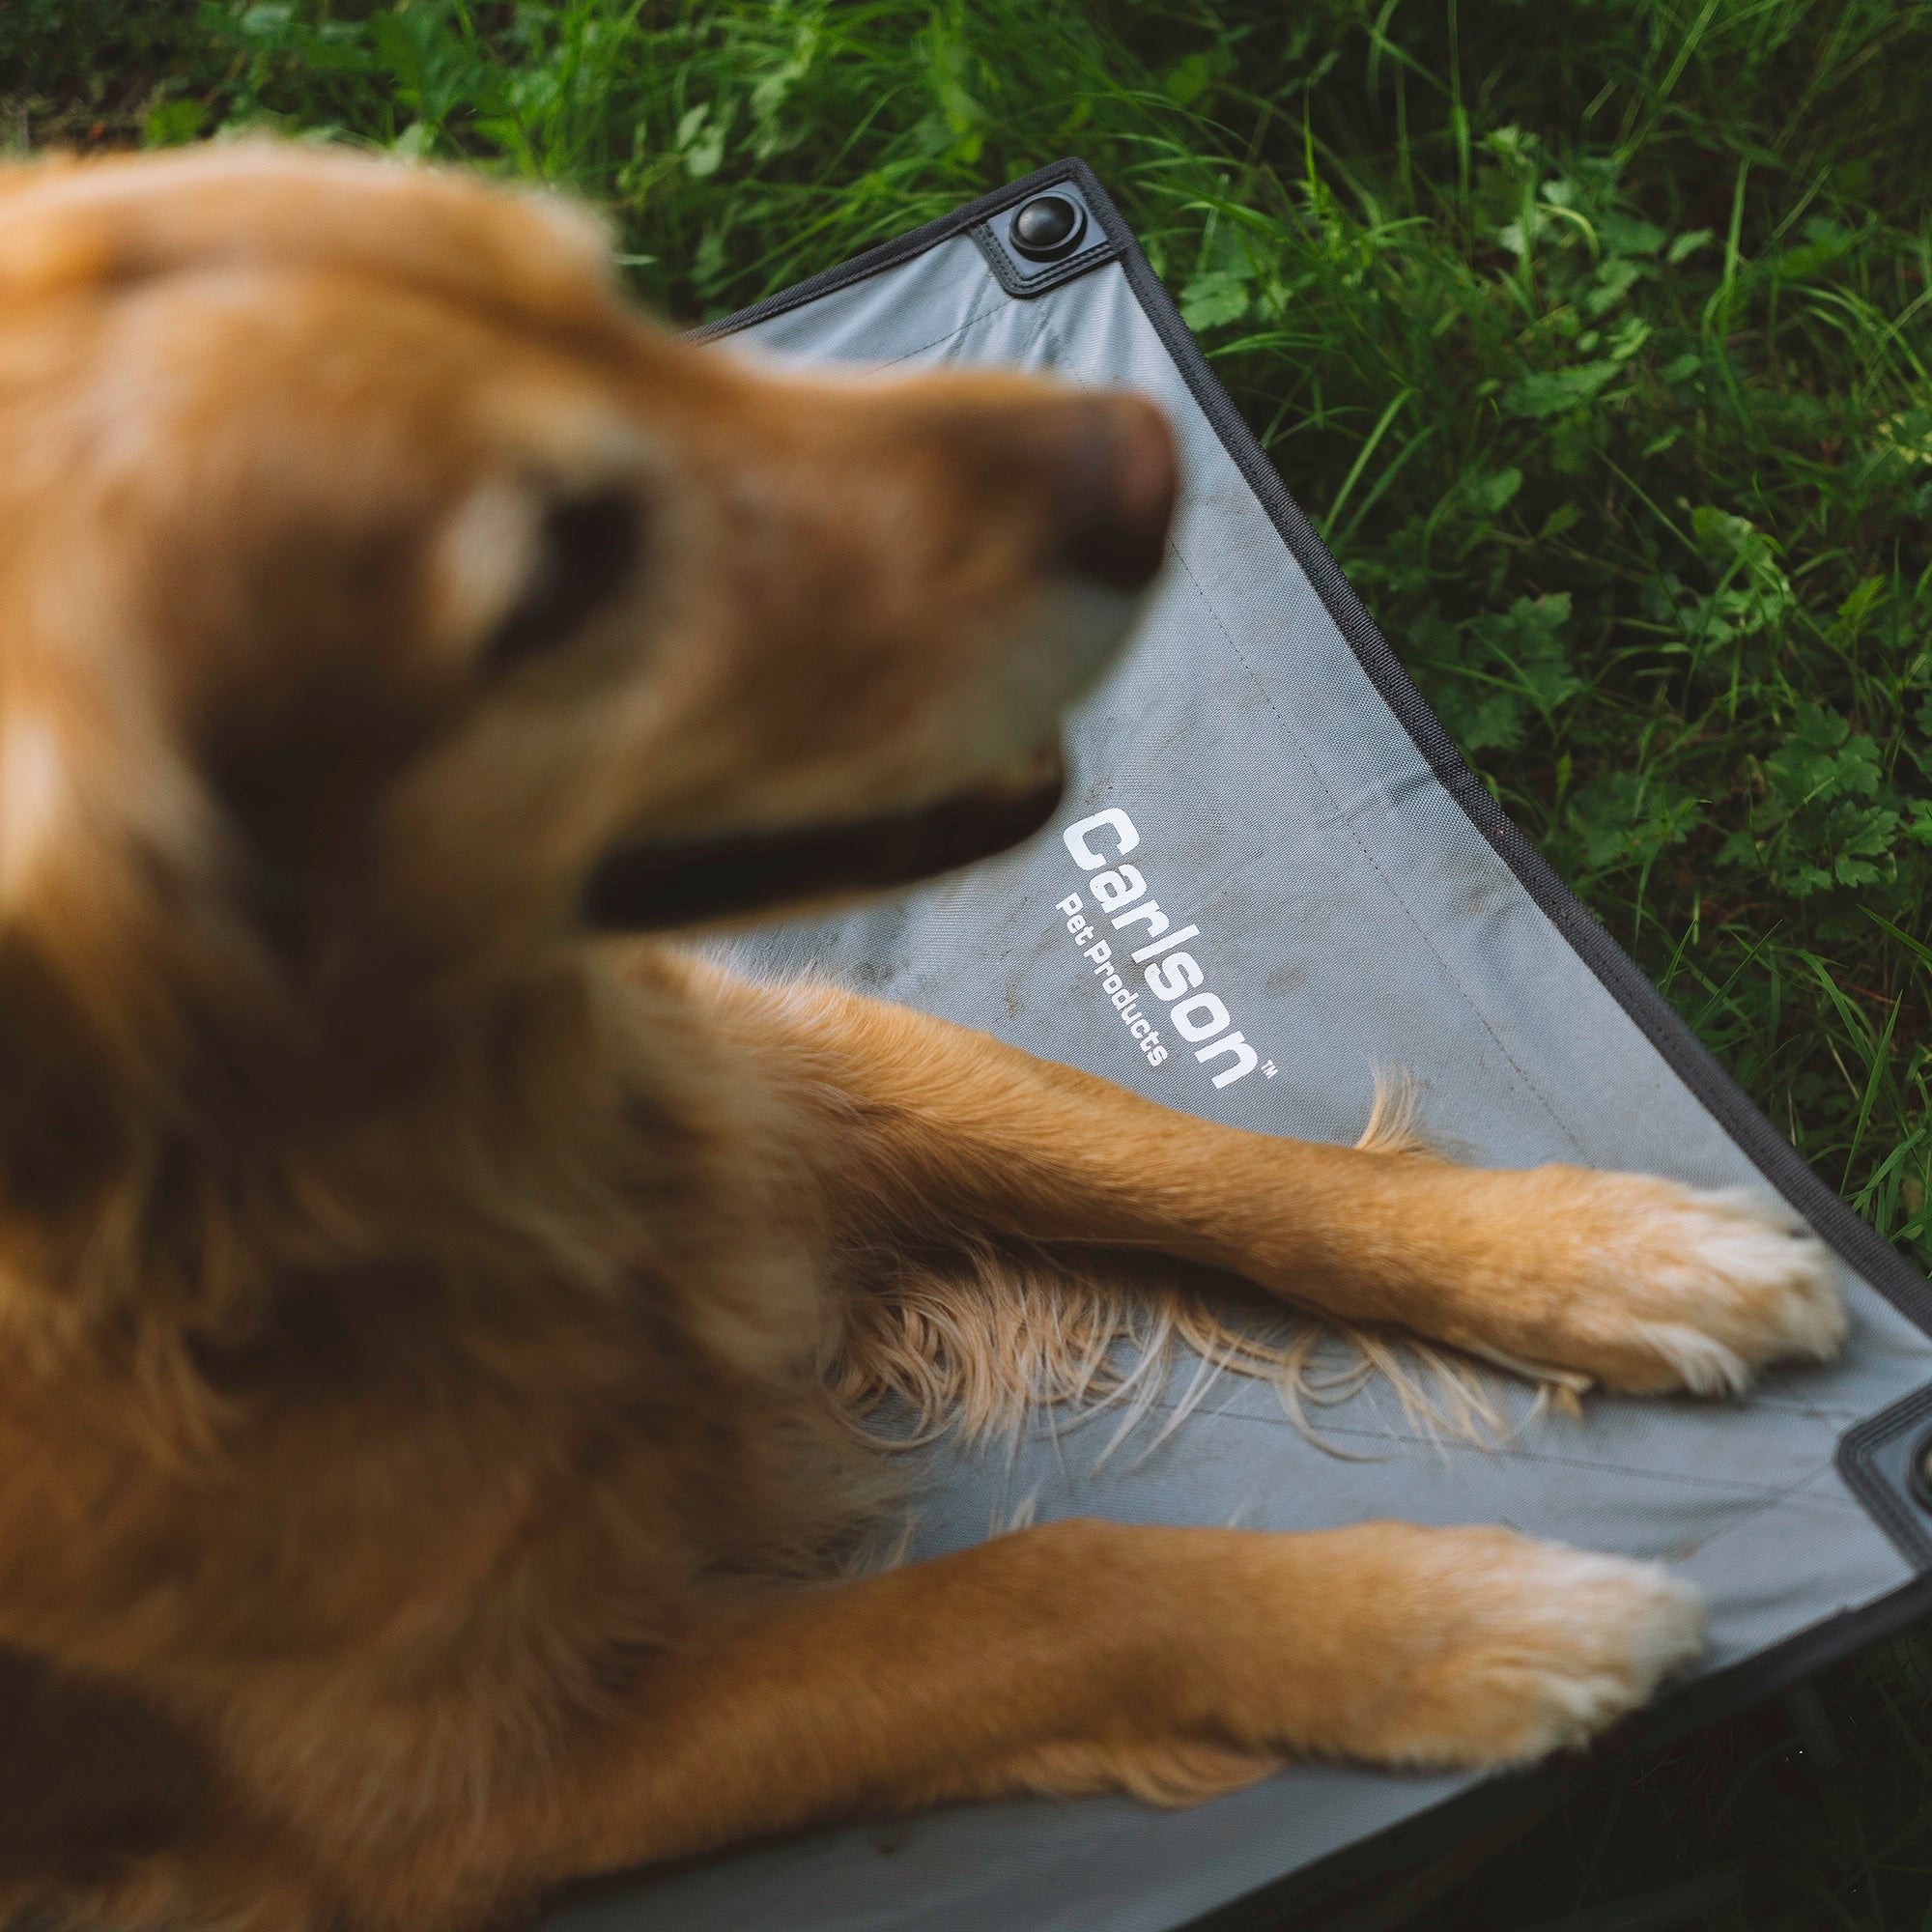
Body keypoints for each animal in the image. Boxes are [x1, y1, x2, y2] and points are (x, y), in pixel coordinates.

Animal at [0, 147, 1847, 1932]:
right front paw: (1453, 1619)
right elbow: (1038, 1593)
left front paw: (1608, 1256)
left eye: (609, 308)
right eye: (563, 573)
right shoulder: (446, 1808)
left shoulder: (803, 1066)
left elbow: (1222, 1171)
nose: (1143, 453)